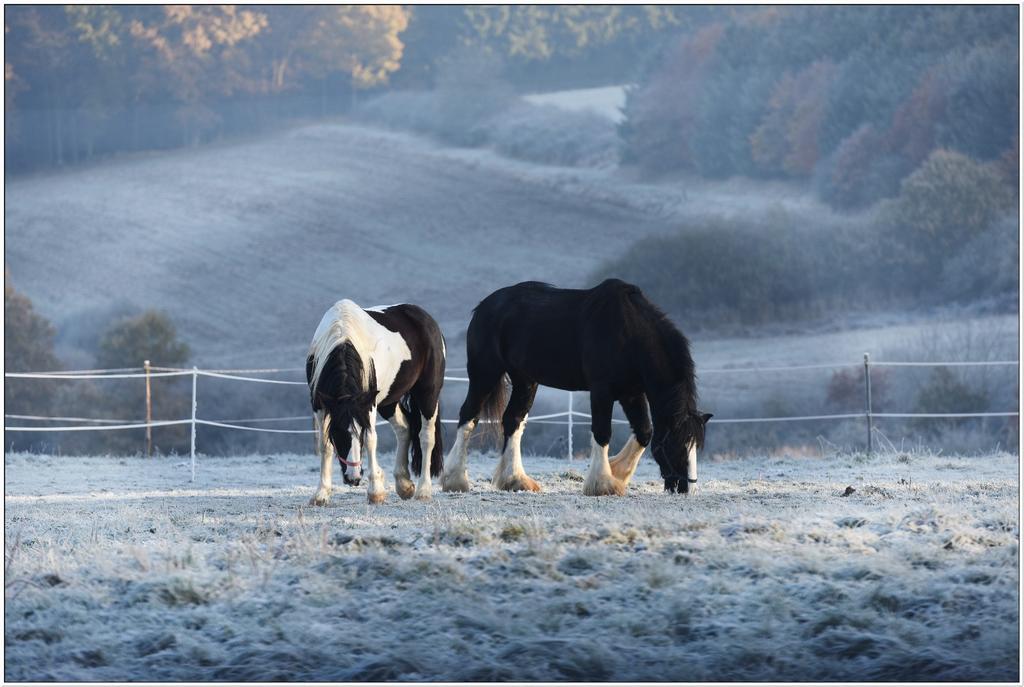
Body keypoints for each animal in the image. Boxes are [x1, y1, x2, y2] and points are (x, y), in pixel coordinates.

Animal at [307, 298, 444, 505]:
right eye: (339, 432)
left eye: (360, 431)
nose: (354, 478)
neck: (342, 335)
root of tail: (427, 319)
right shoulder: (320, 404)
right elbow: (325, 445)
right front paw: (321, 493)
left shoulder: (367, 404)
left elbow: (371, 440)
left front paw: (375, 492)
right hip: (389, 402)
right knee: (404, 428)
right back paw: (404, 484)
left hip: (428, 395)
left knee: (426, 437)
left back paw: (423, 490)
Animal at [440, 278, 712, 495]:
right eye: (676, 445)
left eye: (695, 447)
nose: (687, 489)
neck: (629, 334)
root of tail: (484, 307)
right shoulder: (602, 391)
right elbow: (602, 432)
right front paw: (602, 484)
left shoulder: (632, 393)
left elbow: (644, 432)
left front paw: (617, 473)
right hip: (485, 374)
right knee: (469, 417)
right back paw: (455, 480)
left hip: (525, 380)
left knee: (512, 420)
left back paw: (515, 480)